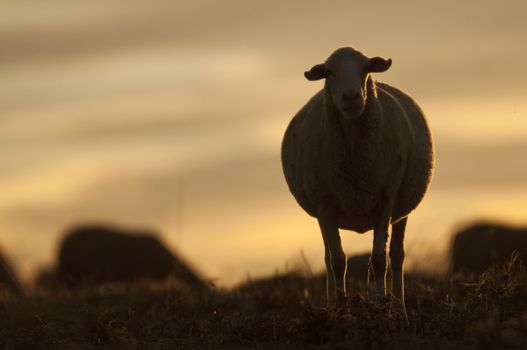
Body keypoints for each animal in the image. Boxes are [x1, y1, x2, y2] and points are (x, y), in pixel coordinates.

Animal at [282, 46, 436, 318]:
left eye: (365, 68)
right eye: (329, 72)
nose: (352, 96)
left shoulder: (385, 199)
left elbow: (379, 261)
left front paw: (384, 307)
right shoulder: (325, 204)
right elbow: (336, 261)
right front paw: (341, 308)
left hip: (402, 210)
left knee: (397, 256)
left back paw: (401, 308)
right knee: (327, 257)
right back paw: (330, 304)